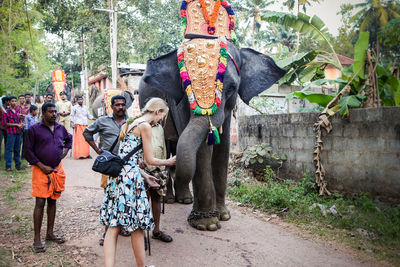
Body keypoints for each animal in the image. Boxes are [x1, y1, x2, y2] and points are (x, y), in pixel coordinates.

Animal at [139, 38, 286, 231]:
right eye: (185, 88)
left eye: (232, 87)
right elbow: (202, 151)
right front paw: (207, 224)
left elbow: (223, 147)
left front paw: (224, 216)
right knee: (165, 149)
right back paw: (170, 199)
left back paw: (185, 200)